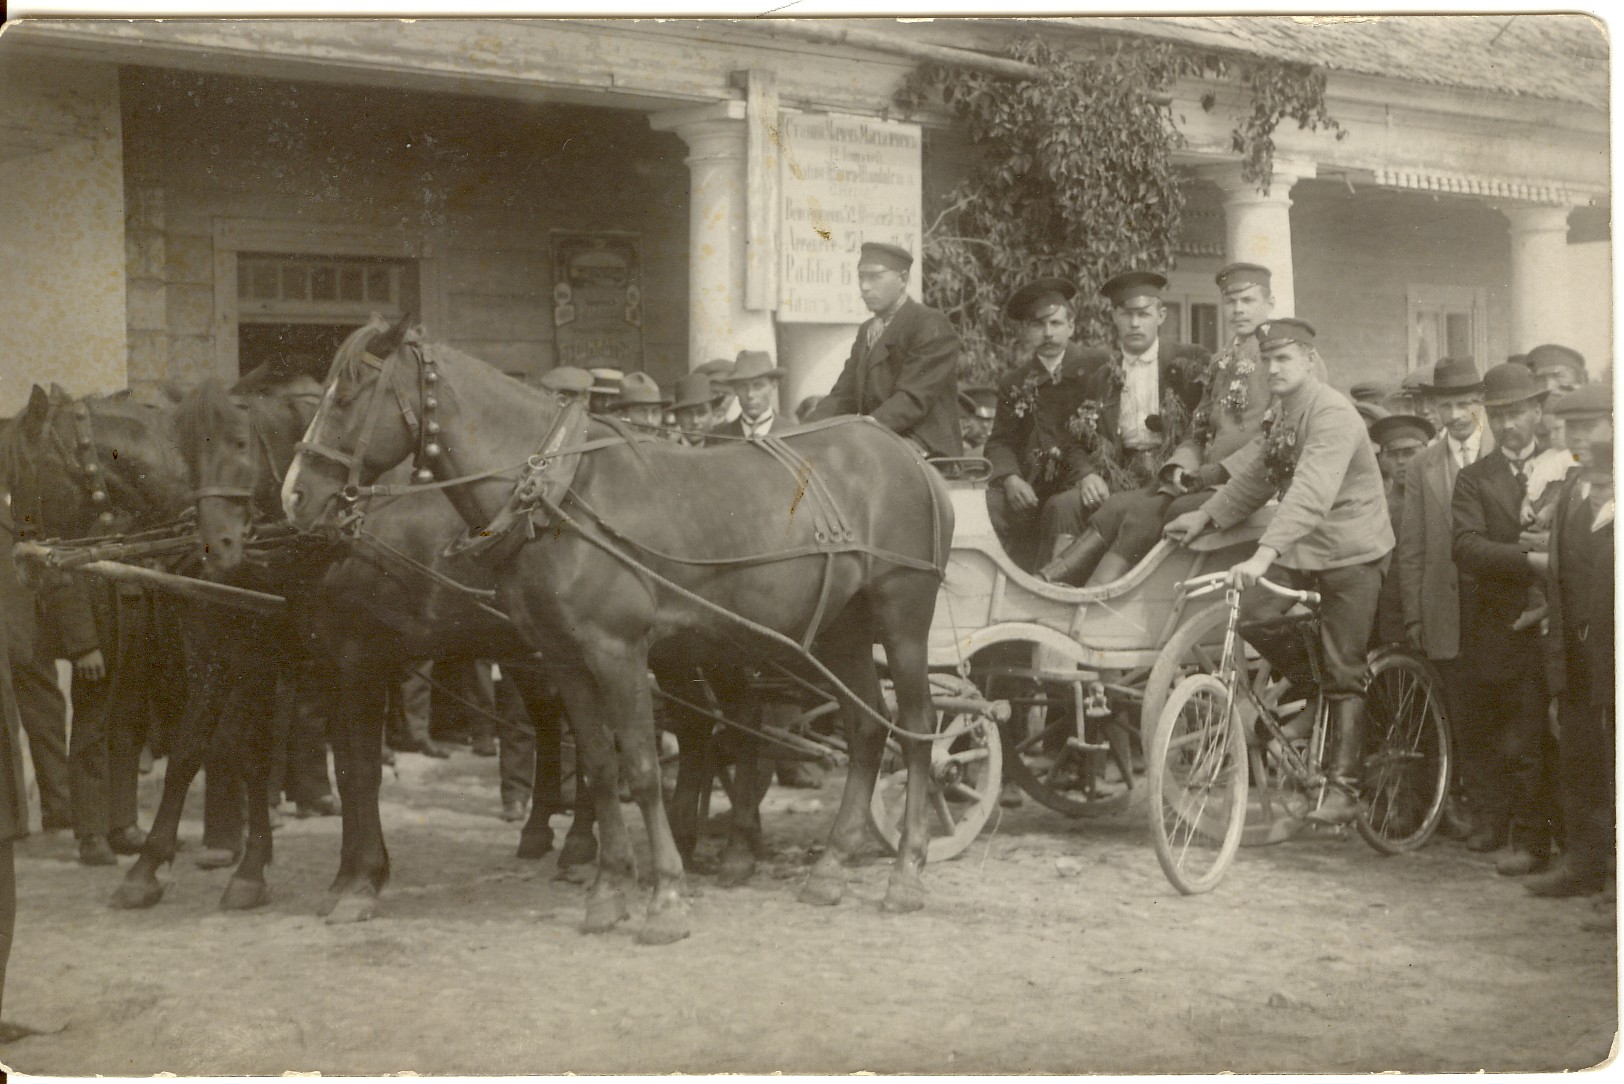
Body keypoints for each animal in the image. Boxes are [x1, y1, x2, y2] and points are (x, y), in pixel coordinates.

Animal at [285, 315, 954, 942]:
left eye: (348, 395)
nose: (295, 496)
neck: (559, 496)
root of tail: (909, 460)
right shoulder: (563, 658)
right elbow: (602, 769)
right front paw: (607, 893)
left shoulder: (619, 653)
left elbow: (642, 769)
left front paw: (665, 899)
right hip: (841, 631)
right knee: (867, 728)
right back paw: (831, 865)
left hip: (902, 620)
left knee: (917, 729)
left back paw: (906, 871)